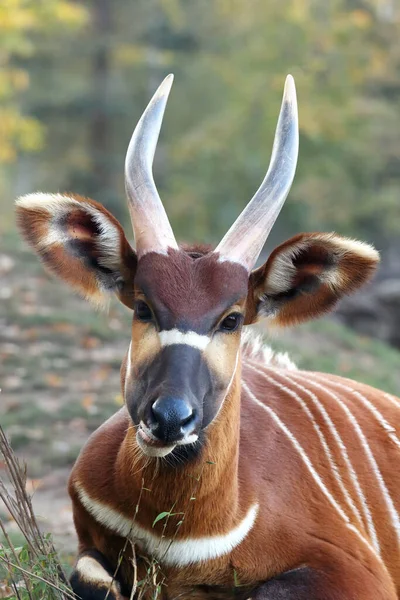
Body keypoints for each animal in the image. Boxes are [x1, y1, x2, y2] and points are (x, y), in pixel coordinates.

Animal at [15, 76, 400, 600]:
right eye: (143, 306)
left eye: (232, 319)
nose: (168, 418)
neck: (180, 539)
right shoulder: (87, 547)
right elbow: (93, 579)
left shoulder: (356, 570)